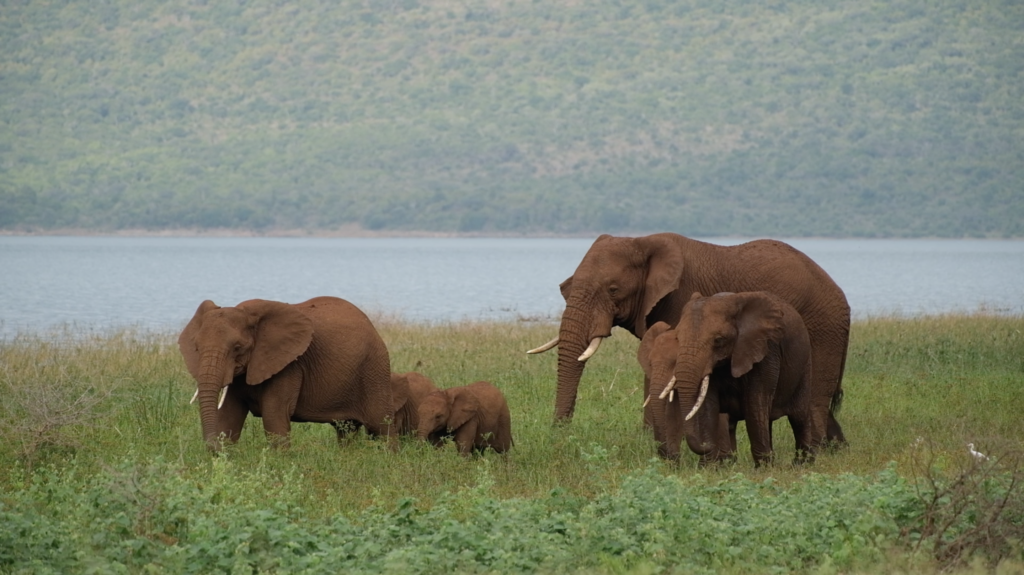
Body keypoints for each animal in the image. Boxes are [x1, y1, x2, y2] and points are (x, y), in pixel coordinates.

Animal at [178, 294, 393, 448]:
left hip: (374, 370)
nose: (211, 445)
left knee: (381, 427)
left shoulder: (289, 365)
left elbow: (274, 417)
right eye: (196, 347)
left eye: (238, 348)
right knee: (346, 429)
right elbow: (229, 418)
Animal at [528, 230, 847, 446]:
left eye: (613, 290)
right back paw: (837, 447)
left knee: (815, 397)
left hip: (824, 328)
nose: (559, 432)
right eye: (567, 287)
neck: (641, 241)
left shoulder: (680, 300)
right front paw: (650, 439)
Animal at [638, 290, 823, 466]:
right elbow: (709, 406)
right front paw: (710, 467)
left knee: (798, 417)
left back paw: (801, 464)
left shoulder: (765, 350)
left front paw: (763, 469)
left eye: (718, 340)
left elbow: (755, 404)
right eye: (679, 338)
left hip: (805, 365)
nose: (705, 445)